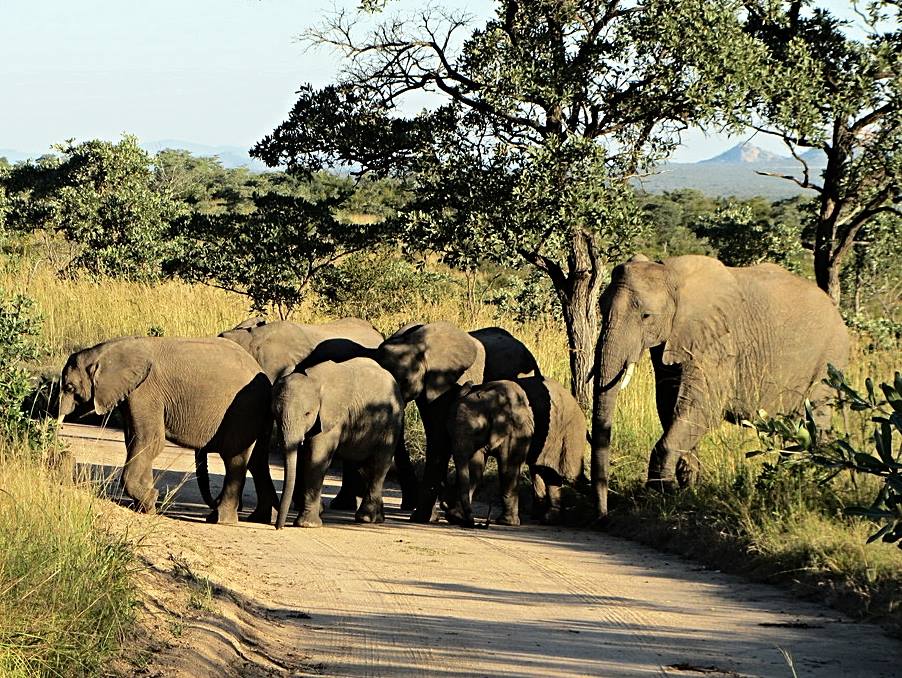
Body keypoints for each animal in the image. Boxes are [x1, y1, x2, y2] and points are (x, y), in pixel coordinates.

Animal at [57, 337, 277, 524]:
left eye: (69, 387)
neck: (107, 352)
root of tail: (264, 376)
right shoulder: (133, 393)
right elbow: (135, 440)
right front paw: (147, 504)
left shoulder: (145, 391)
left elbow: (150, 440)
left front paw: (149, 501)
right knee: (257, 461)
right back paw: (254, 518)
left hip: (245, 409)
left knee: (235, 459)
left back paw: (220, 519)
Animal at [272, 358, 405, 529]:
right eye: (275, 413)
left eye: (307, 413)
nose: (278, 527)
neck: (315, 382)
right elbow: (302, 459)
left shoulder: (331, 416)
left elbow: (315, 458)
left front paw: (307, 524)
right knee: (362, 466)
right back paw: (378, 518)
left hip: (391, 423)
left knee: (379, 464)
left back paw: (366, 519)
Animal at [376, 321, 541, 523]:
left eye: (404, 380)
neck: (416, 342)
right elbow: (436, 433)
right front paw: (432, 515)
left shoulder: (448, 378)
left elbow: (439, 437)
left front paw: (422, 518)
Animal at [445, 376, 586, 527]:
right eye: (449, 432)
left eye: (476, 430)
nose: (475, 523)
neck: (488, 396)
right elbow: (475, 467)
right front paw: (457, 517)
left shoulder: (517, 428)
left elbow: (508, 466)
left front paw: (506, 523)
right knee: (541, 470)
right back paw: (543, 518)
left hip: (570, 434)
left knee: (559, 473)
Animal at [589, 254, 849, 519]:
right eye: (601, 306)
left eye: (646, 316)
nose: (602, 515)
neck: (672, 274)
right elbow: (669, 405)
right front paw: (687, 488)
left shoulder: (719, 343)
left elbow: (701, 409)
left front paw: (663, 492)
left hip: (829, 359)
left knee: (814, 419)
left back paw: (807, 484)